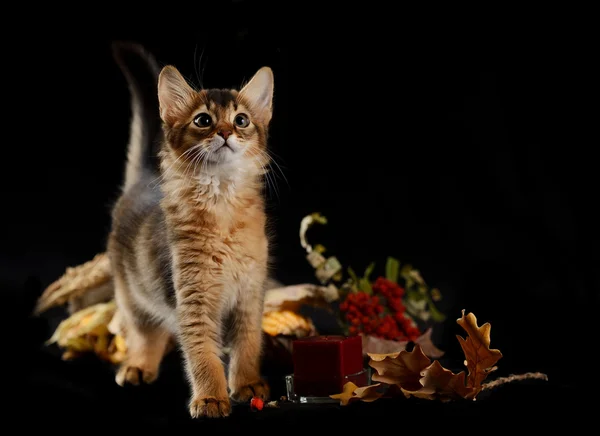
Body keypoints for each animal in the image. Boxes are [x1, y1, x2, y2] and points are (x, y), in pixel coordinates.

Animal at [108, 41, 274, 418]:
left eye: (241, 120)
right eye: (203, 120)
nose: (226, 133)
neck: (223, 206)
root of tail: (145, 177)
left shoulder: (250, 293)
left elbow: (248, 343)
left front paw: (247, 383)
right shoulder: (193, 299)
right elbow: (201, 355)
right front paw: (211, 397)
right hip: (132, 293)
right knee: (145, 333)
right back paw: (138, 366)